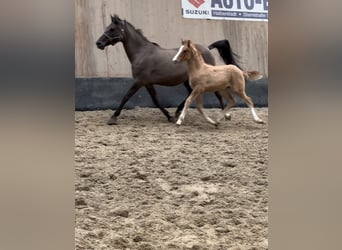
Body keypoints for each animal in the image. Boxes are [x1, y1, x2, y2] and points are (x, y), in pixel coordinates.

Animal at [95, 14, 236, 124]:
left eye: (112, 29)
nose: (98, 43)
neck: (141, 53)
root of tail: (206, 48)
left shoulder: (139, 81)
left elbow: (126, 96)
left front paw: (113, 118)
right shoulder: (147, 83)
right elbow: (155, 100)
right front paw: (169, 116)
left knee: (217, 94)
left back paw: (224, 115)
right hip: (187, 81)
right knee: (191, 93)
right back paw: (177, 112)